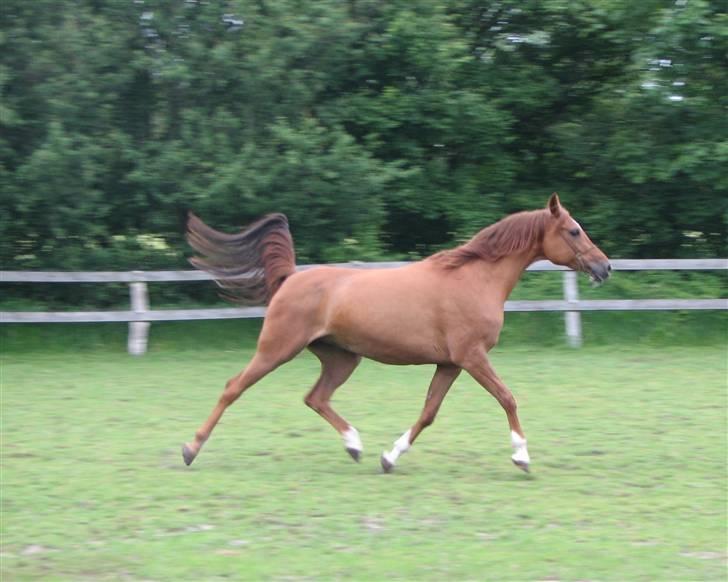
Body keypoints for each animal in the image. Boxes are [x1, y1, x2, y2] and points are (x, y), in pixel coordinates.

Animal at [182, 196, 608, 474]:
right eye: (574, 231)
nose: (604, 267)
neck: (474, 279)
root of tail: (291, 277)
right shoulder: (472, 357)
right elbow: (508, 398)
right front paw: (521, 456)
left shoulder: (450, 364)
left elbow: (429, 413)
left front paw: (390, 457)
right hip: (277, 348)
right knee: (233, 388)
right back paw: (190, 449)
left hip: (341, 358)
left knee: (315, 397)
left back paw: (355, 445)